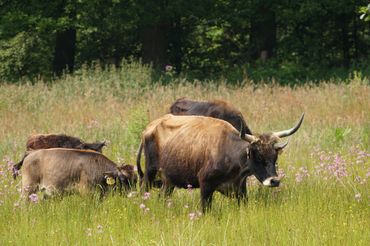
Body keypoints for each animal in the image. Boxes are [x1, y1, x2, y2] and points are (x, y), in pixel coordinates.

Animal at [136, 113, 304, 211]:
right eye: (258, 157)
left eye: (274, 157)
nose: (274, 181)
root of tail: (150, 127)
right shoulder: (205, 186)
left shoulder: (240, 190)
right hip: (150, 172)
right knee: (143, 189)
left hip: (168, 181)